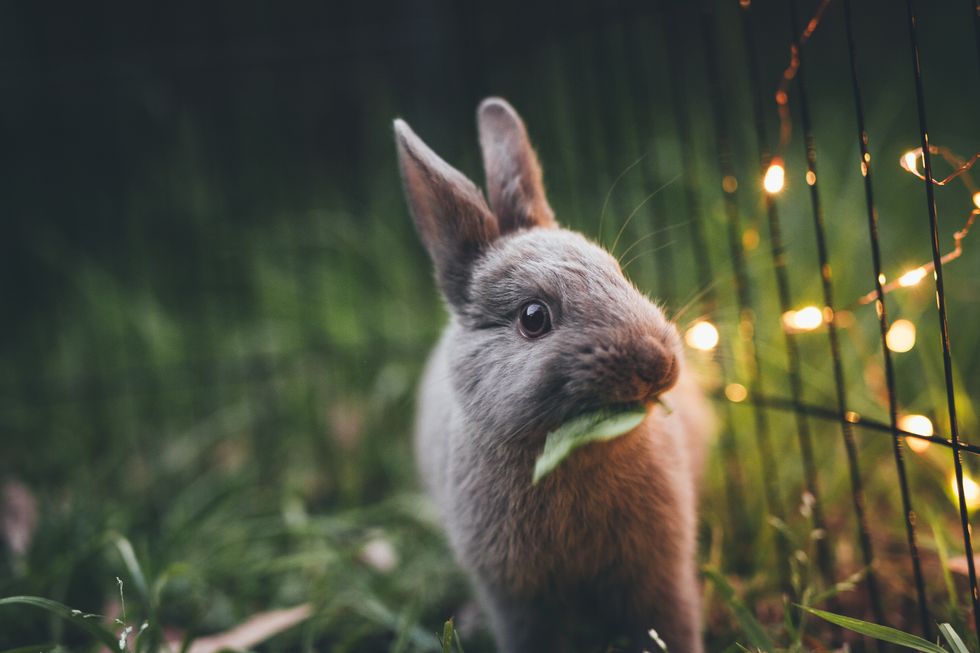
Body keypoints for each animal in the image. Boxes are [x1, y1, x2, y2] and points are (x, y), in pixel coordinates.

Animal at [394, 97, 711, 653]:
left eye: (618, 272)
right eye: (533, 318)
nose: (658, 363)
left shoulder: (660, 574)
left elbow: (670, 623)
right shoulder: (517, 599)